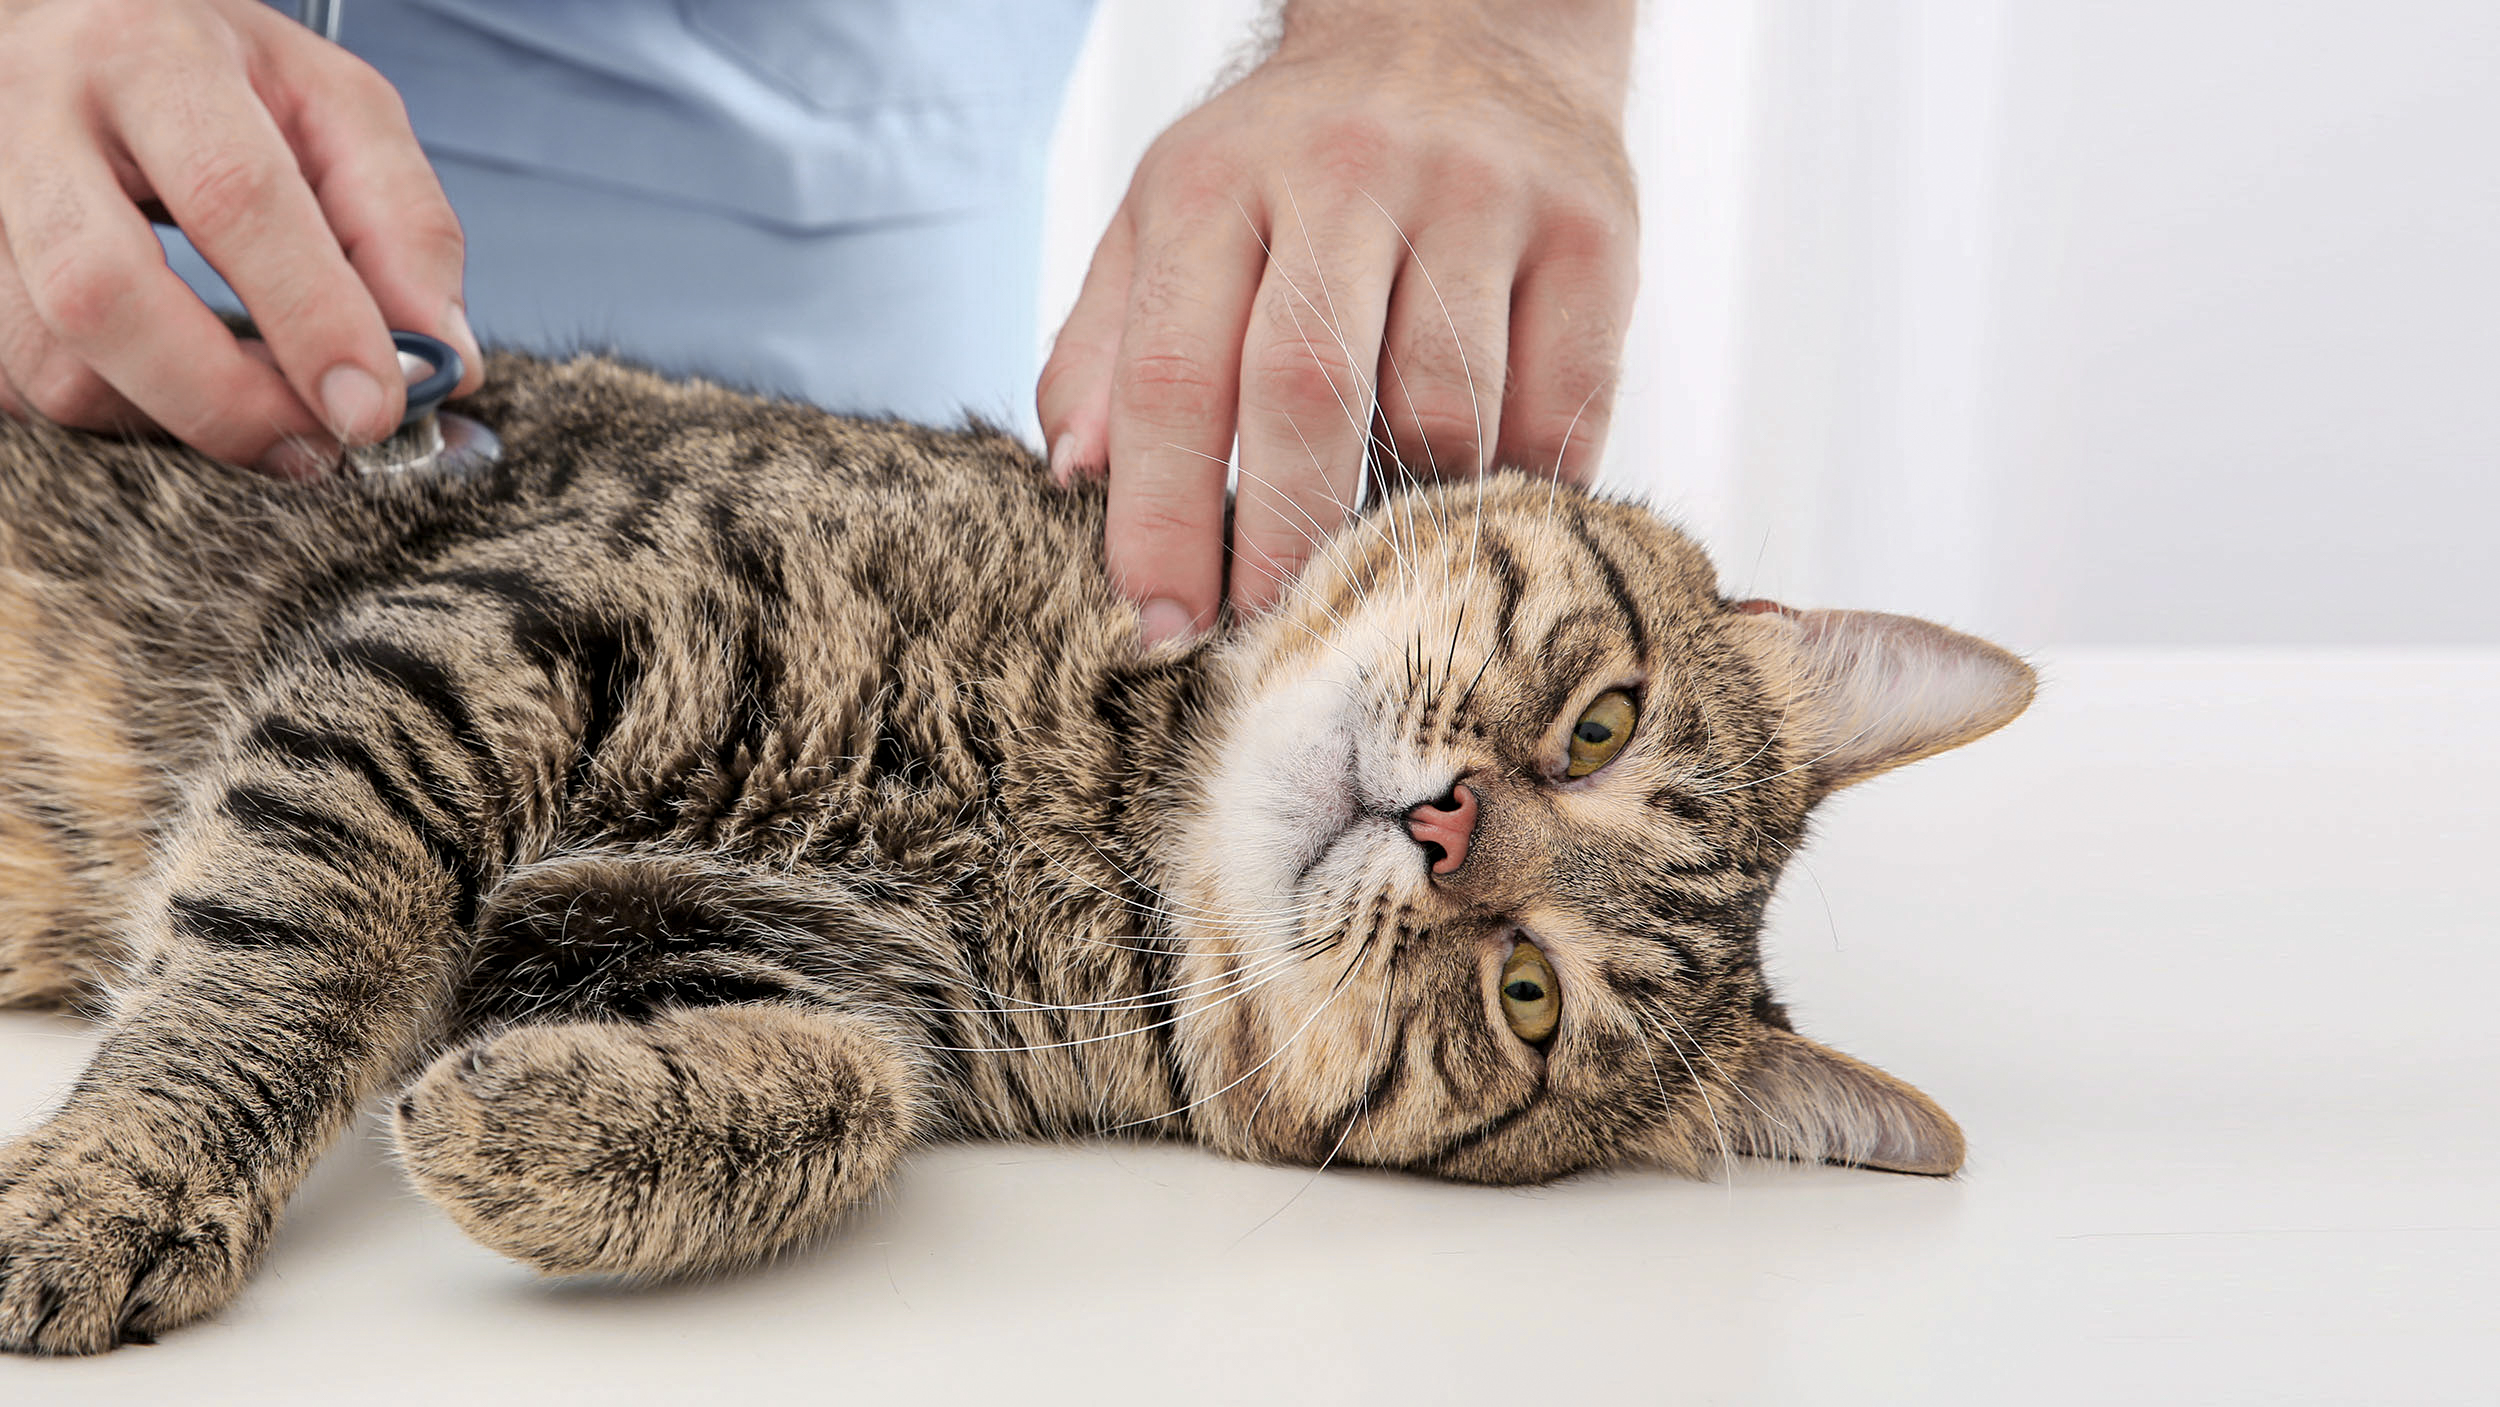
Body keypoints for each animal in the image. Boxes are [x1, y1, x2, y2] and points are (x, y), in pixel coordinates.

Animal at [0, 352, 2030, 1349]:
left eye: (1528, 997)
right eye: (1601, 722)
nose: (1451, 825)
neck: (1076, 803)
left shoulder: (709, 941)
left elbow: (843, 1096)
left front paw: (518, 1131)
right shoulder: (491, 637)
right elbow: (279, 966)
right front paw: (110, 1192)